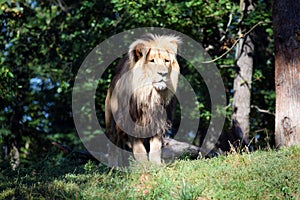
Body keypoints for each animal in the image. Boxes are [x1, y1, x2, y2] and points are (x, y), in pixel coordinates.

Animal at [105, 33, 180, 166]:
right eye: (152, 61)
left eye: (166, 61)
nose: (163, 73)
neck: (149, 94)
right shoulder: (130, 122)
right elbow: (139, 148)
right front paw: (143, 165)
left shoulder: (158, 121)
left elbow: (155, 146)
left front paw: (156, 165)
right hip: (111, 122)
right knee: (113, 144)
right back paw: (113, 167)